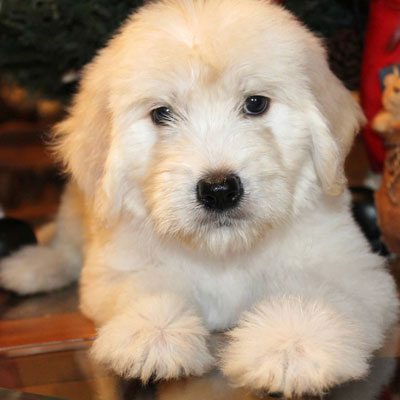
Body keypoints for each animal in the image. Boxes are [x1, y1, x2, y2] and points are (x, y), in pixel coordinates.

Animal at [1, 0, 398, 396]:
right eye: (162, 113)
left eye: (256, 104)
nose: (219, 189)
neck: (222, 252)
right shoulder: (117, 266)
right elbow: (146, 285)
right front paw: (155, 332)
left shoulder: (351, 266)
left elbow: (319, 292)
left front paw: (293, 343)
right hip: (80, 203)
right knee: (66, 244)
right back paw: (32, 265)